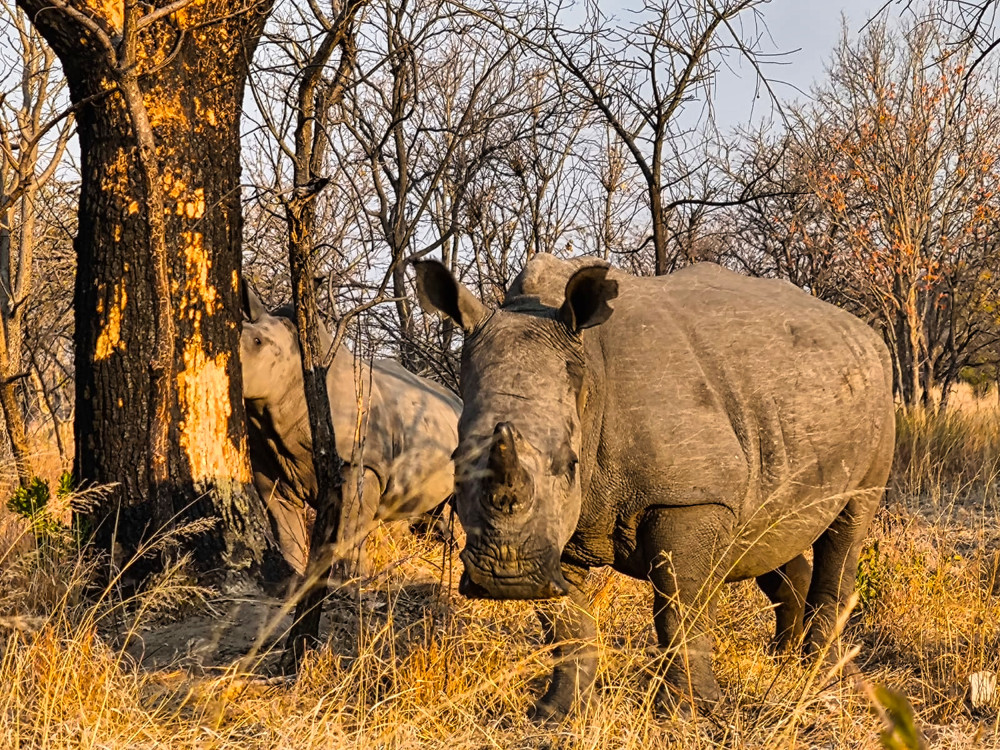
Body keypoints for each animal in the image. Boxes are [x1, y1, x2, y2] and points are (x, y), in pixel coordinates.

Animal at [239, 284, 462, 575]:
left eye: (257, 342)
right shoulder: (270, 469)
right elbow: (286, 532)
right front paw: (294, 576)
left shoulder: (360, 463)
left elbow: (349, 529)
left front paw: (350, 580)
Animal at [413, 253, 895, 720]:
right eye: (456, 464)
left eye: (569, 464)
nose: (505, 577)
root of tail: (864, 332)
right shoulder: (550, 539)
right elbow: (565, 624)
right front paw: (558, 714)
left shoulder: (691, 498)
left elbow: (678, 609)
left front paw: (688, 715)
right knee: (769, 528)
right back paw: (786, 663)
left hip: (878, 396)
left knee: (847, 527)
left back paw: (818, 676)